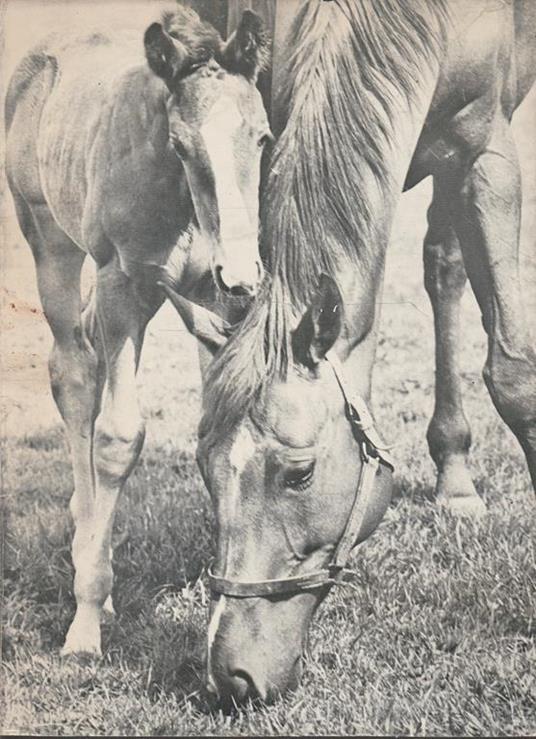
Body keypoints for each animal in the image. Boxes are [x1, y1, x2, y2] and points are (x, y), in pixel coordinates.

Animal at [5, 4, 271, 657]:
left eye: (262, 137)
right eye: (180, 144)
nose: (242, 275)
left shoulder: (213, 302)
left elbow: (222, 424)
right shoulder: (124, 285)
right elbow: (118, 436)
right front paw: (86, 622)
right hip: (51, 242)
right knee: (74, 373)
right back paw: (87, 557)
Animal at [169, 0, 536, 706]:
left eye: (299, 473)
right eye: (203, 468)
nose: (230, 675)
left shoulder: (485, 156)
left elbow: (513, 376)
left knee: (443, 265)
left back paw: (456, 481)